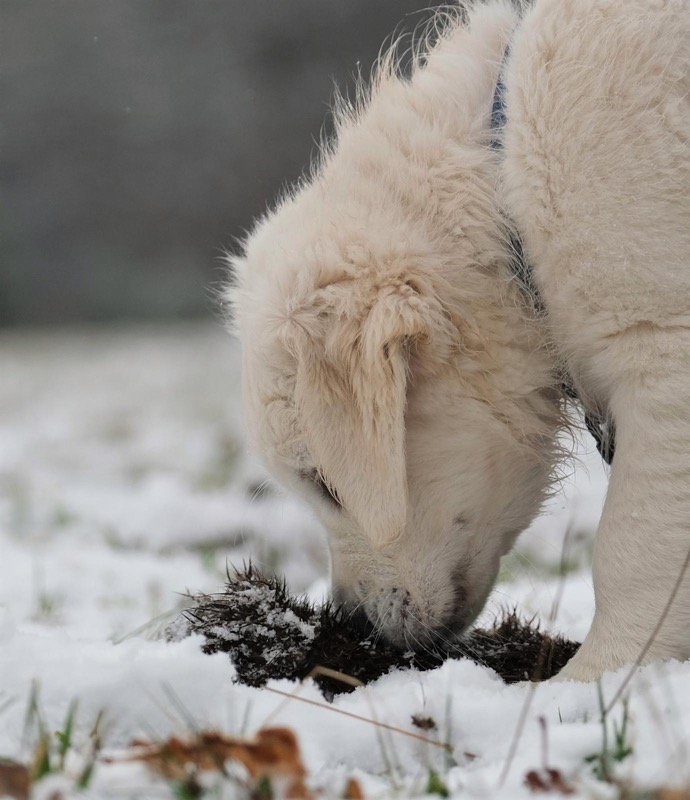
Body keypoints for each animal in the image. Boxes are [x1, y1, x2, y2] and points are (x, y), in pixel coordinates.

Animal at [226, 0, 690, 681]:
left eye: (327, 485)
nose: (352, 625)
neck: (504, 184)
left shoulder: (664, 350)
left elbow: (635, 543)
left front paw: (596, 680)